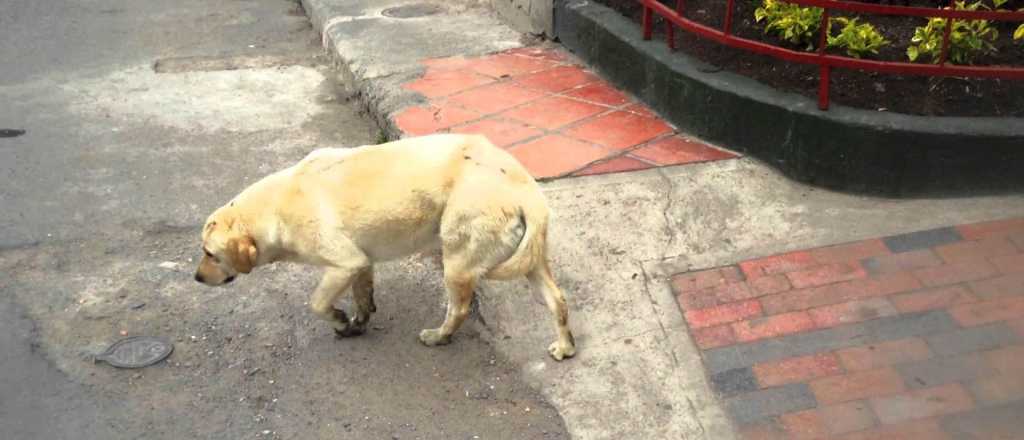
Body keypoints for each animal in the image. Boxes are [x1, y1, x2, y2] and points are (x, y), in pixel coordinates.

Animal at [192, 132, 577, 360]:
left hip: (456, 261)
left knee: (459, 309)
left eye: (210, 254)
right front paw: (357, 322)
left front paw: (339, 319)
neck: (277, 203)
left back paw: (439, 336)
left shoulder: (343, 263)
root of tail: (522, 186)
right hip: (532, 262)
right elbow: (364, 296)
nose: (196, 278)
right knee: (557, 299)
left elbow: (317, 303)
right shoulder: (361, 263)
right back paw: (565, 345)